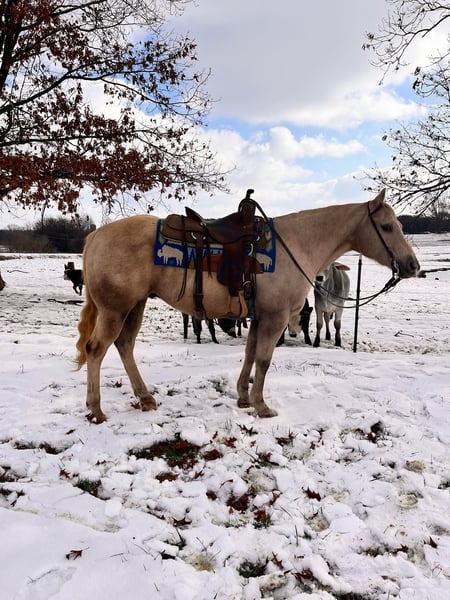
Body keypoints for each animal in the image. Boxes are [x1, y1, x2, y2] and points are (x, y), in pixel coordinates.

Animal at [75, 190, 420, 423]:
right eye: (387, 227)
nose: (412, 266)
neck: (297, 244)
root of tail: (95, 236)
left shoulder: (258, 317)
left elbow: (251, 353)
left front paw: (242, 397)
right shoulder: (275, 317)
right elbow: (264, 360)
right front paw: (261, 405)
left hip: (134, 306)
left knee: (124, 345)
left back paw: (145, 398)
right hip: (115, 309)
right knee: (96, 349)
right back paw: (96, 409)